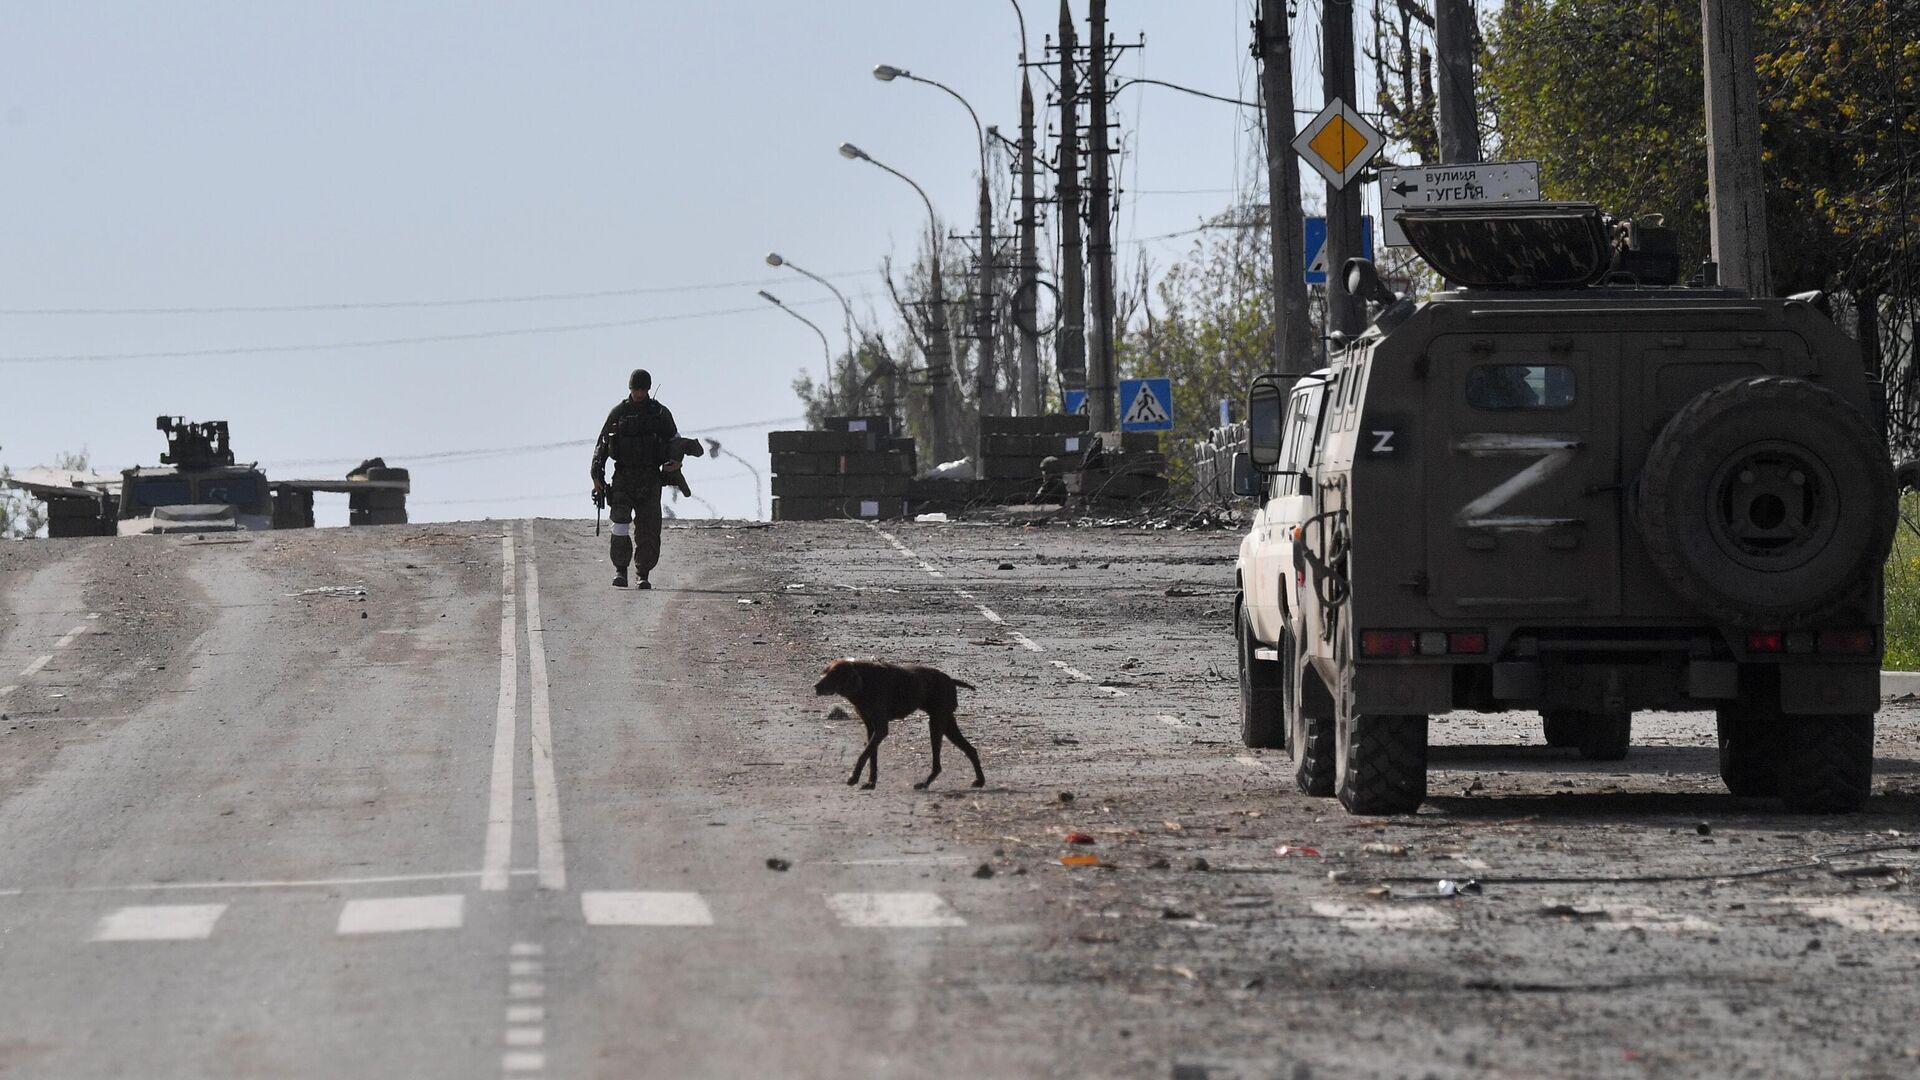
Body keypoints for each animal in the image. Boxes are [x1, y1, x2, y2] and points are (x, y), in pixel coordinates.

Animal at [814, 653, 983, 787]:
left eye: (834, 675)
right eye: (825, 672)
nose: (815, 686)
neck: (865, 683)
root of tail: (951, 680)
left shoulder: (881, 729)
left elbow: (864, 755)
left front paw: (854, 777)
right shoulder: (870, 727)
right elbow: (871, 756)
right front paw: (871, 782)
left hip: (936, 724)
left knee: (939, 763)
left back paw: (925, 783)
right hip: (947, 725)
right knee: (971, 750)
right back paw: (979, 780)